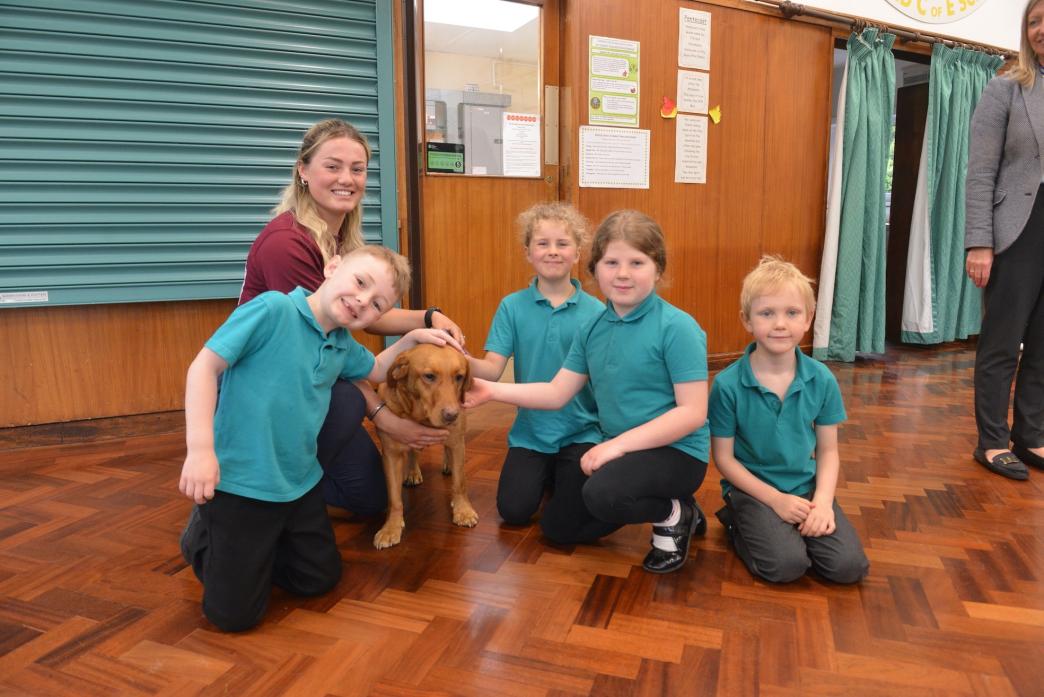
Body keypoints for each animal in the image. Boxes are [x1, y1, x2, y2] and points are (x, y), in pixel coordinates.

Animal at [371, 342, 478, 550]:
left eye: (459, 377)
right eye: (429, 376)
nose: (452, 415)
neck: (422, 418)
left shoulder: (457, 443)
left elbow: (459, 483)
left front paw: (463, 510)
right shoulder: (391, 454)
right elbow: (394, 498)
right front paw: (391, 527)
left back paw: (447, 465)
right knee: (414, 453)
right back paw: (412, 472)